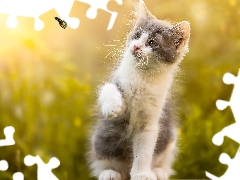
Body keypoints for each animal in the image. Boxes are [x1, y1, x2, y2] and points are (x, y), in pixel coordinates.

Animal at [87, 0, 190, 179]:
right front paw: (114, 106)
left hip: (169, 138)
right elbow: (107, 88)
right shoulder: (116, 78)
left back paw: (159, 171)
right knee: (102, 159)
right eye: (136, 36)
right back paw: (109, 172)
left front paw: (141, 173)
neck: (142, 76)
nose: (135, 47)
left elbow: (143, 152)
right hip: (101, 138)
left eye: (152, 43)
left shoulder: (151, 121)